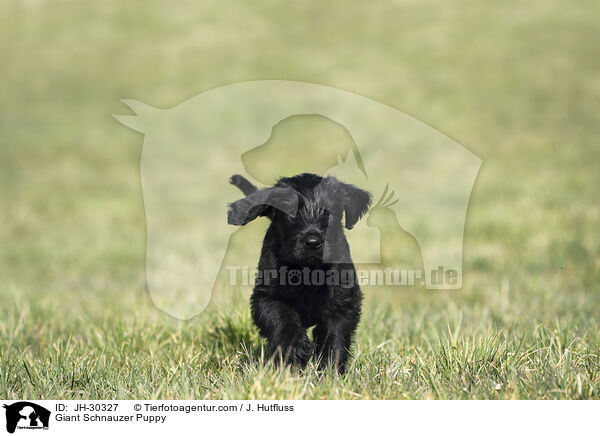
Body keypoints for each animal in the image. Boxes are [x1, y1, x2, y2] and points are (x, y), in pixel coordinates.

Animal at [229, 172, 370, 372]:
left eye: (328, 212)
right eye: (291, 212)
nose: (312, 242)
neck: (308, 270)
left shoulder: (343, 301)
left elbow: (335, 334)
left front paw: (330, 370)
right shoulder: (266, 297)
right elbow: (282, 317)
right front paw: (294, 349)